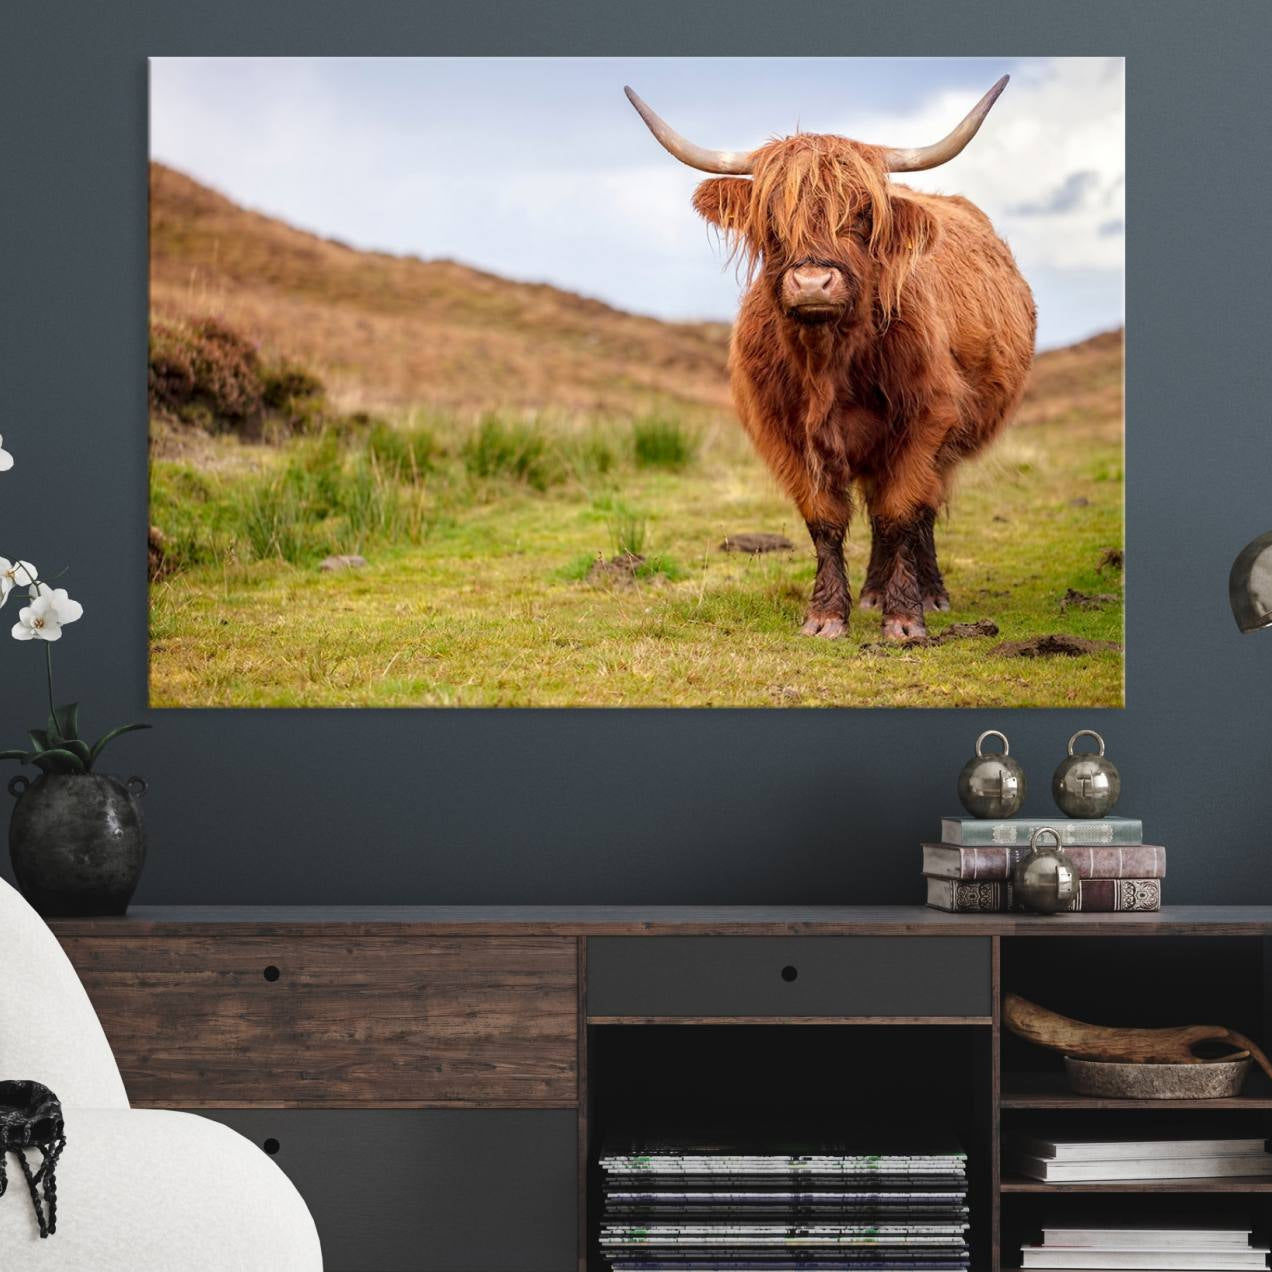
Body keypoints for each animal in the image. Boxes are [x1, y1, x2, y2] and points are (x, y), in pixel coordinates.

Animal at [626, 77, 1036, 641]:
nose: (813, 283)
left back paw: (929, 593)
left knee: (919, 512)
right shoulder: (785, 433)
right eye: (772, 217)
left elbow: (901, 512)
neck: (828, 362)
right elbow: (825, 519)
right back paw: (871, 593)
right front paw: (825, 616)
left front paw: (905, 619)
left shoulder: (926, 421)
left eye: (863, 214)